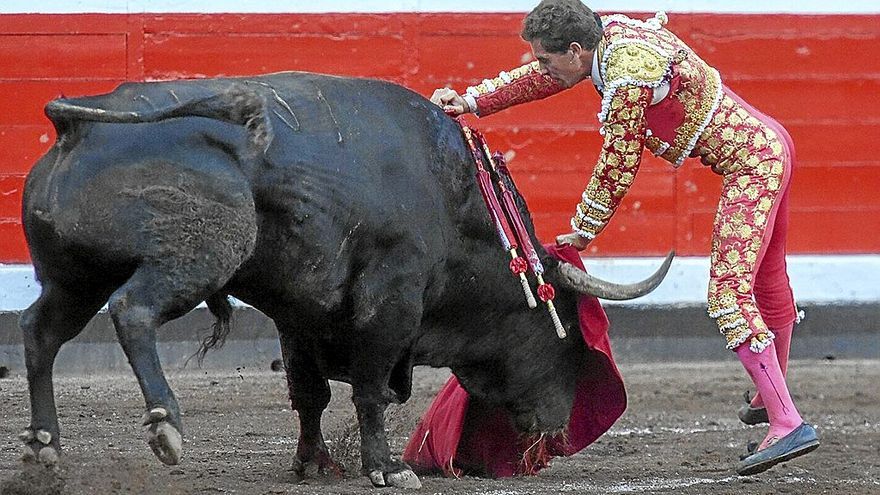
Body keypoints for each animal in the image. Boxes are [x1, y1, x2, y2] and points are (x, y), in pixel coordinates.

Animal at [15, 71, 672, 490]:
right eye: (570, 341)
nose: (558, 432)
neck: (453, 200)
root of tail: (79, 126)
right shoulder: (391, 301)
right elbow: (369, 389)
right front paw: (385, 468)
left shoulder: (298, 315)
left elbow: (310, 393)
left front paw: (314, 463)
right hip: (194, 256)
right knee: (132, 312)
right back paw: (166, 425)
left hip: (74, 277)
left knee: (40, 332)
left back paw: (45, 449)